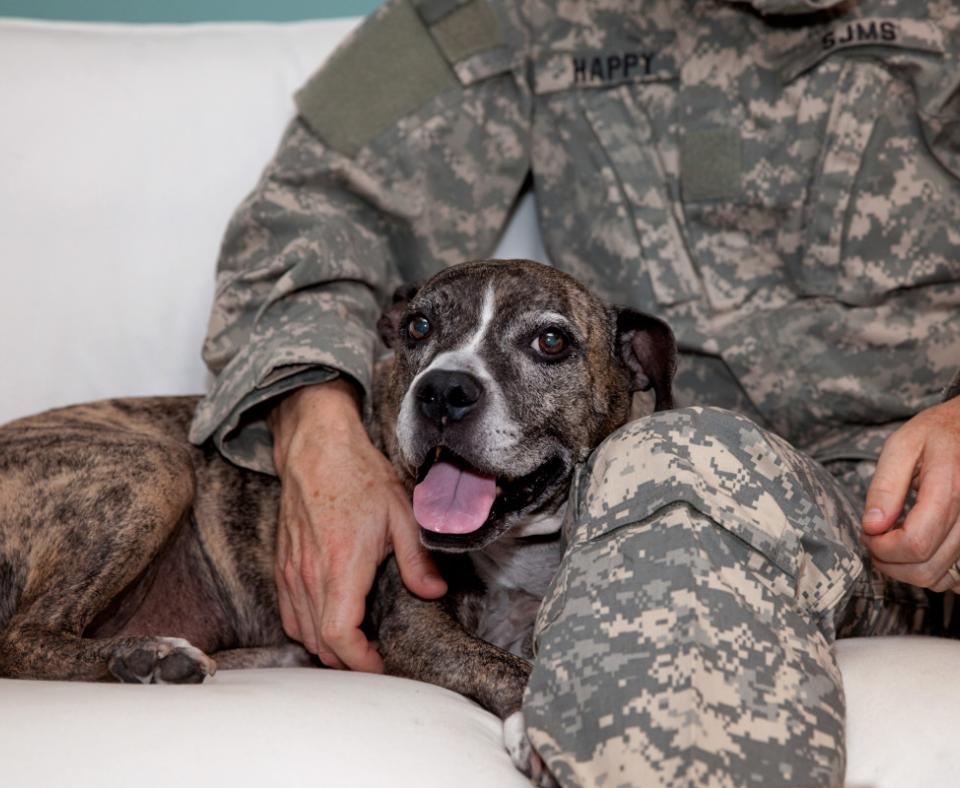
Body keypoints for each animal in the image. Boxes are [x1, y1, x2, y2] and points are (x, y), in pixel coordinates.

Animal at [0, 260, 676, 780]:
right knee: (23, 638)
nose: (443, 391)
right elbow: (507, 668)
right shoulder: (417, 628)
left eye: (551, 342)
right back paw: (143, 658)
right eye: (419, 326)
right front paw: (540, 729)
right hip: (153, 466)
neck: (519, 550)